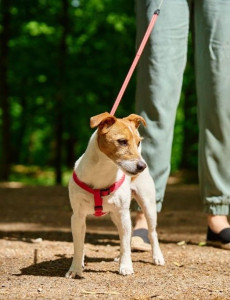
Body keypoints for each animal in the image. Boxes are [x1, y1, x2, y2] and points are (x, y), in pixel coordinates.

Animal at [65, 112, 164, 278]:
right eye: (122, 141)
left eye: (138, 142)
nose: (142, 166)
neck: (102, 173)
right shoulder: (77, 217)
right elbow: (78, 246)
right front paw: (76, 268)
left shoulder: (123, 214)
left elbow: (124, 243)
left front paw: (126, 266)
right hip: (115, 216)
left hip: (147, 206)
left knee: (151, 233)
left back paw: (157, 257)